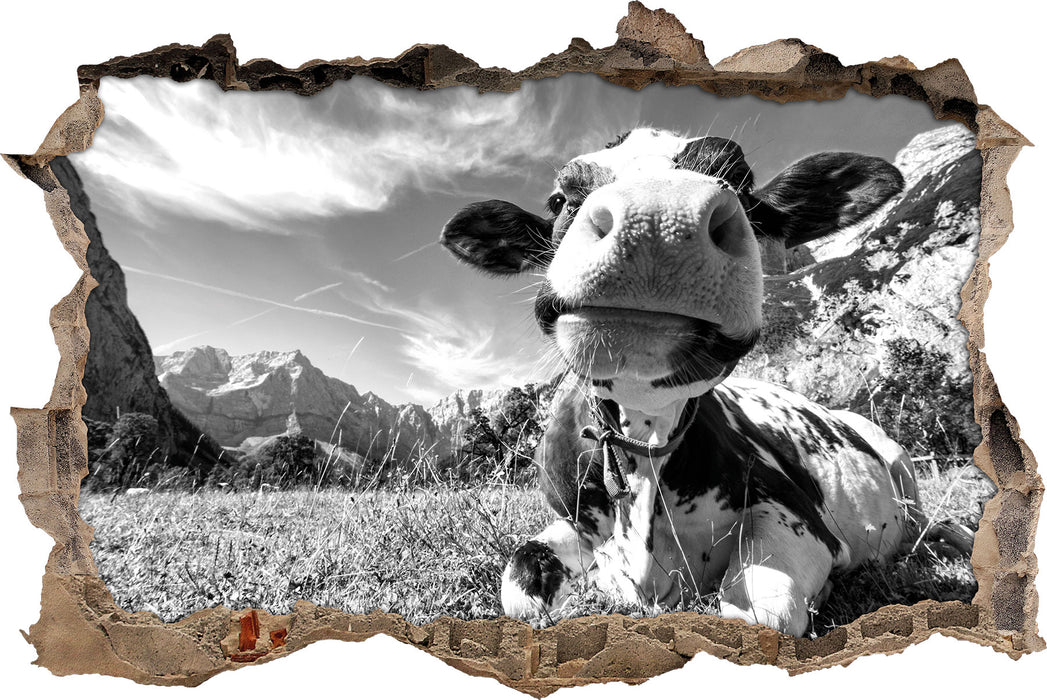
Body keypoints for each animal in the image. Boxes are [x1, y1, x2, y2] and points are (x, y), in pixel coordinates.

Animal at [439, 127, 971, 637]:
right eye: (559, 198)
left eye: (741, 181)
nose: (657, 219)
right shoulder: (571, 521)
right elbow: (520, 587)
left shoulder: (800, 514)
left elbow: (761, 614)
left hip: (900, 462)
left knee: (927, 522)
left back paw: (955, 538)